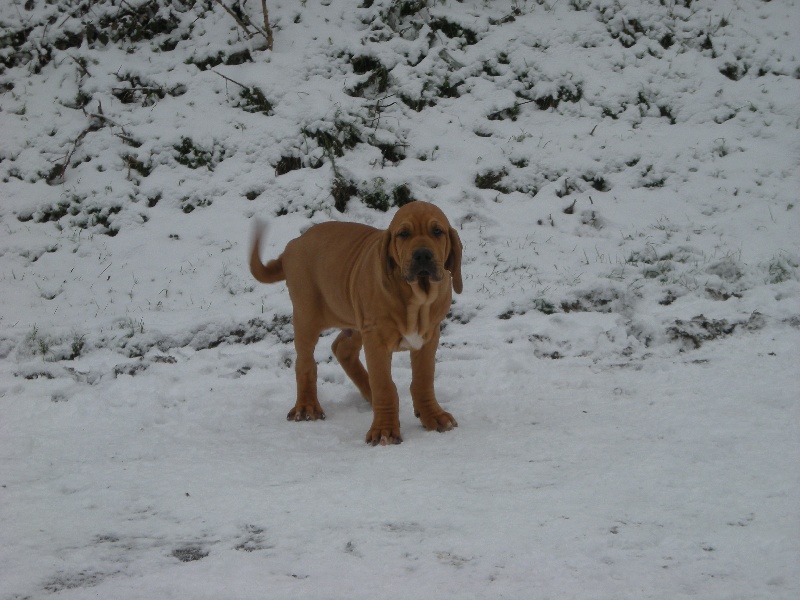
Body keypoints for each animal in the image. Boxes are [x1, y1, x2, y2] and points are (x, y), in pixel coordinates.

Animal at [249, 201, 462, 445]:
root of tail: (293, 245)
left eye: (437, 231)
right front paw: (384, 430)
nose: (423, 255)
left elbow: (423, 380)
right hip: (307, 316)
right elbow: (384, 385)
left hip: (356, 319)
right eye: (403, 234)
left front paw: (433, 416)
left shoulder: (429, 337)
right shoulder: (376, 339)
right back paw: (306, 407)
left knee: (342, 348)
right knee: (305, 362)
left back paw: (367, 393)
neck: (417, 298)